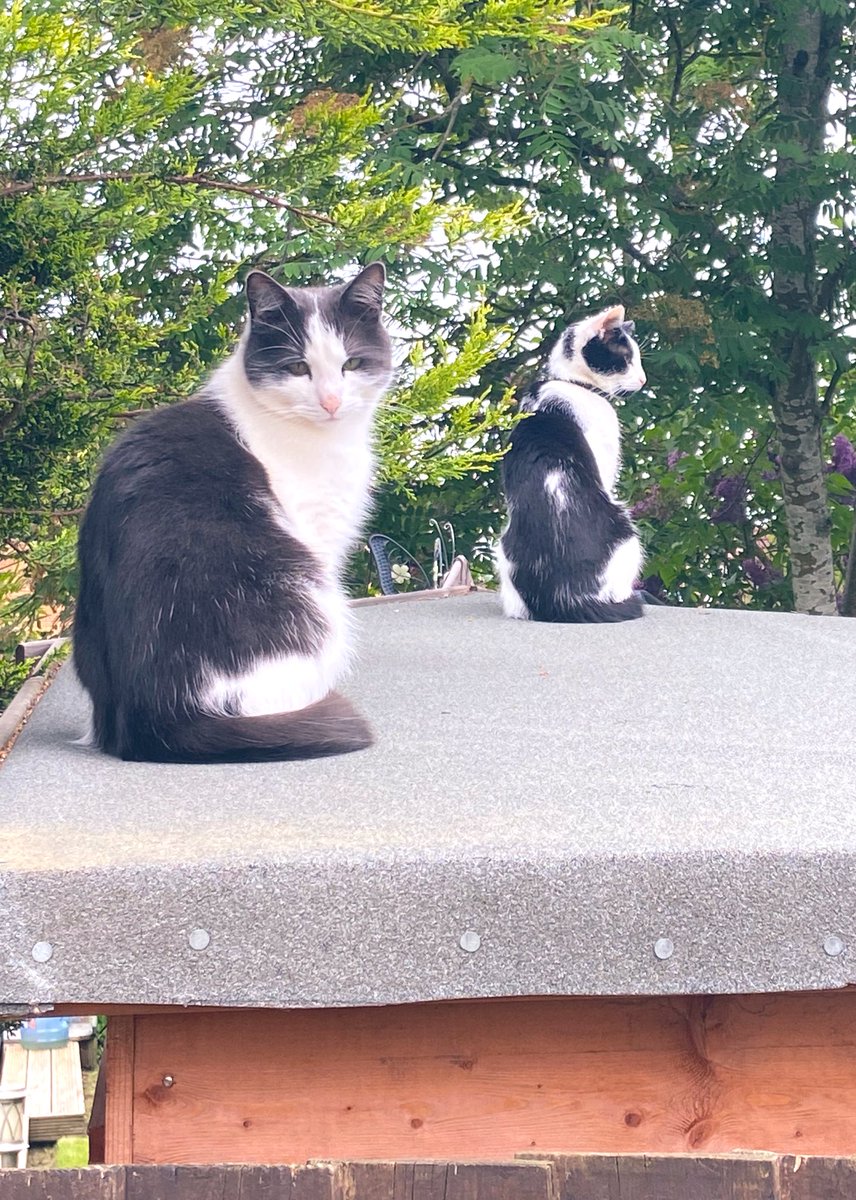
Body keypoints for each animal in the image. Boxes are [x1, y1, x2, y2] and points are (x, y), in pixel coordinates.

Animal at [75, 262, 391, 758]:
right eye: (297, 368)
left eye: (352, 364)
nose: (331, 402)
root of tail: (156, 715)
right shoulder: (317, 529)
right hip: (308, 594)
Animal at [497, 304, 643, 624]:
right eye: (626, 360)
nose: (643, 380)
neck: (573, 383)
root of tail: (564, 598)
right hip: (627, 533)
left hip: (502, 550)